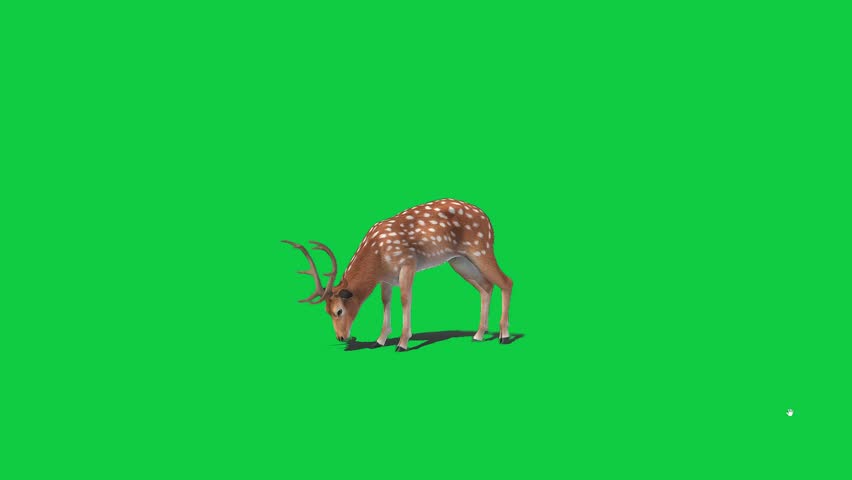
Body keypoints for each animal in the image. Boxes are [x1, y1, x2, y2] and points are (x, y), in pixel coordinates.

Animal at [282, 198, 513, 351]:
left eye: (338, 310)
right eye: (326, 312)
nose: (340, 337)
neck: (377, 259)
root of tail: (488, 220)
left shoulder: (408, 263)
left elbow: (405, 298)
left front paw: (402, 342)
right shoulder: (386, 278)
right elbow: (385, 301)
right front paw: (380, 340)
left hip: (480, 248)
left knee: (506, 281)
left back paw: (504, 335)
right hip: (459, 260)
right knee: (486, 286)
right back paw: (479, 335)